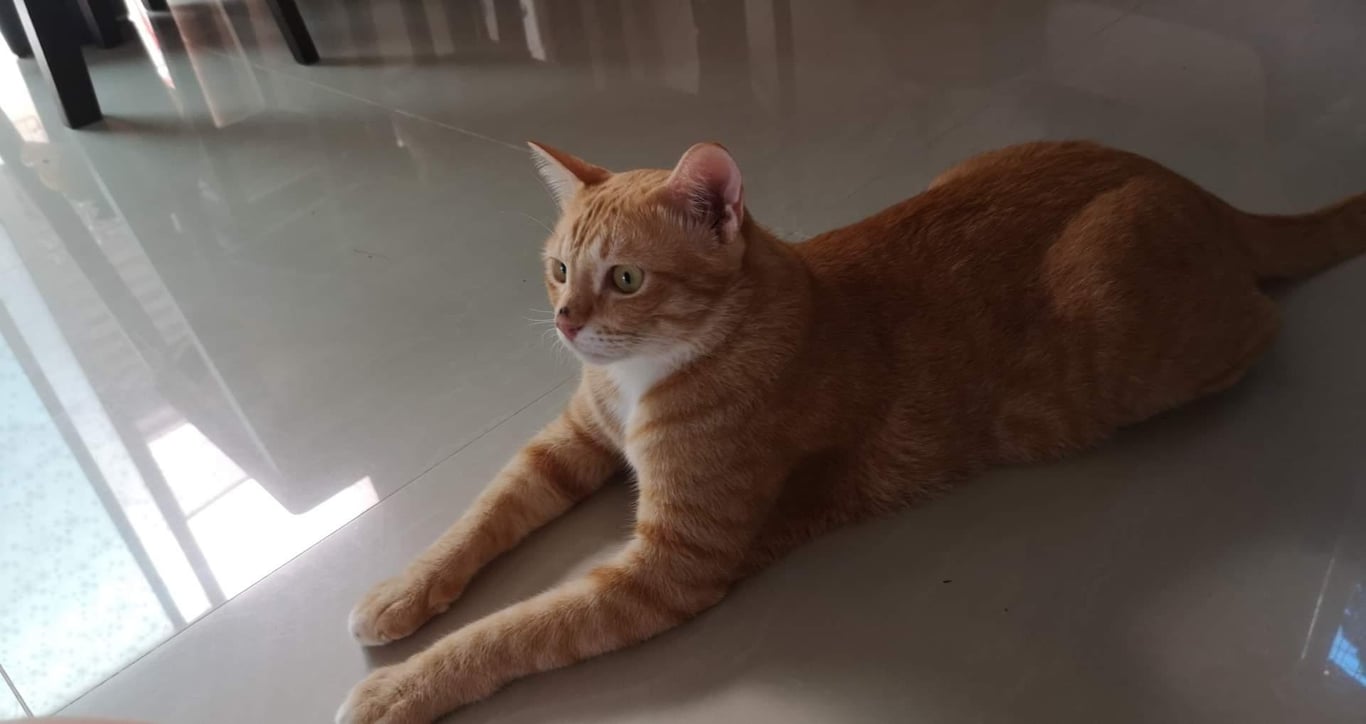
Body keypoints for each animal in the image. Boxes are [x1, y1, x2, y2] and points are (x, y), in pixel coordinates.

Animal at [337, 140, 1366, 723]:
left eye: (623, 279)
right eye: (557, 269)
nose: (564, 323)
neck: (643, 376)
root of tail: (1190, 186)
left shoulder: (669, 568)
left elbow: (514, 629)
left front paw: (398, 688)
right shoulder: (569, 446)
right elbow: (482, 516)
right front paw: (401, 592)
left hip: (1142, 340)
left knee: (1264, 326)